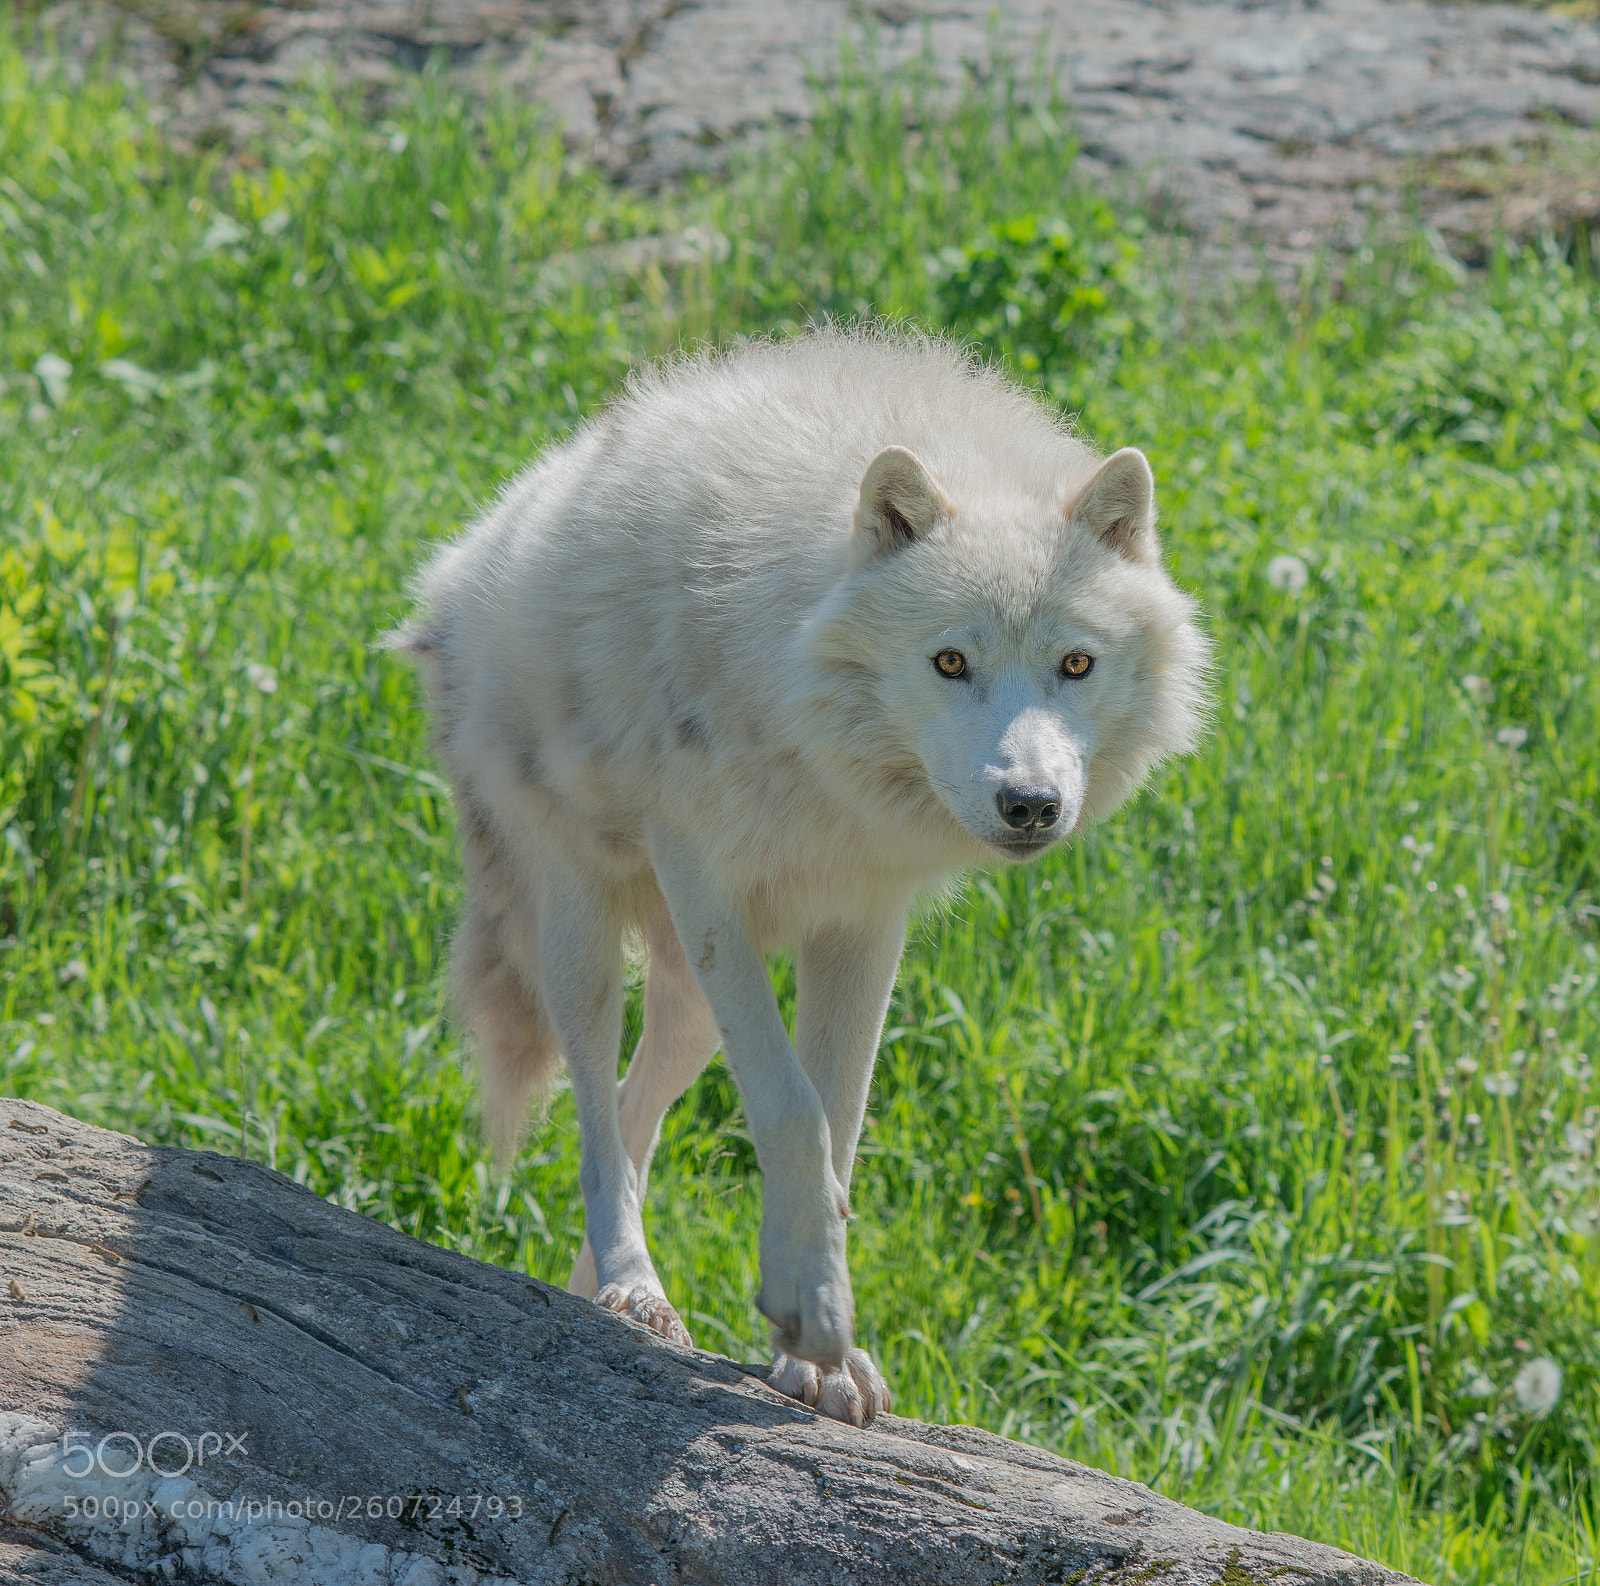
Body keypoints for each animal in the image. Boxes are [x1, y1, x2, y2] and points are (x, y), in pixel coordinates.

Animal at [396, 326, 1209, 1425]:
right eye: (949, 661)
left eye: (1074, 665)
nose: (1030, 803)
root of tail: (458, 569)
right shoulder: (702, 873)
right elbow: (790, 1107)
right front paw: (813, 1313)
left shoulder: (864, 917)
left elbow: (840, 1122)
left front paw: (819, 1356)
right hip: (585, 930)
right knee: (595, 1112)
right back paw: (632, 1286)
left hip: (692, 1002)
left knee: (639, 1101)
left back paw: (595, 1293)